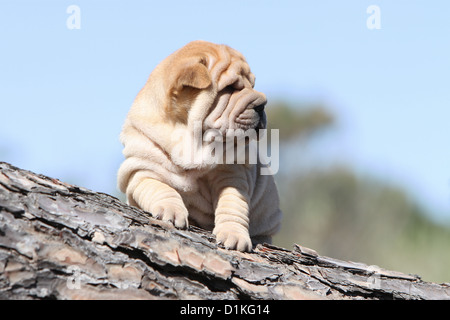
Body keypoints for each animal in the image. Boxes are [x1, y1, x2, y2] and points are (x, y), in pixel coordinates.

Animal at [118, 40, 282, 251]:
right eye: (230, 87)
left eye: (252, 85)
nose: (262, 104)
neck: (190, 138)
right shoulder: (141, 169)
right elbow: (159, 188)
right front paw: (170, 210)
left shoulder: (232, 174)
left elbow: (232, 204)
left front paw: (234, 235)